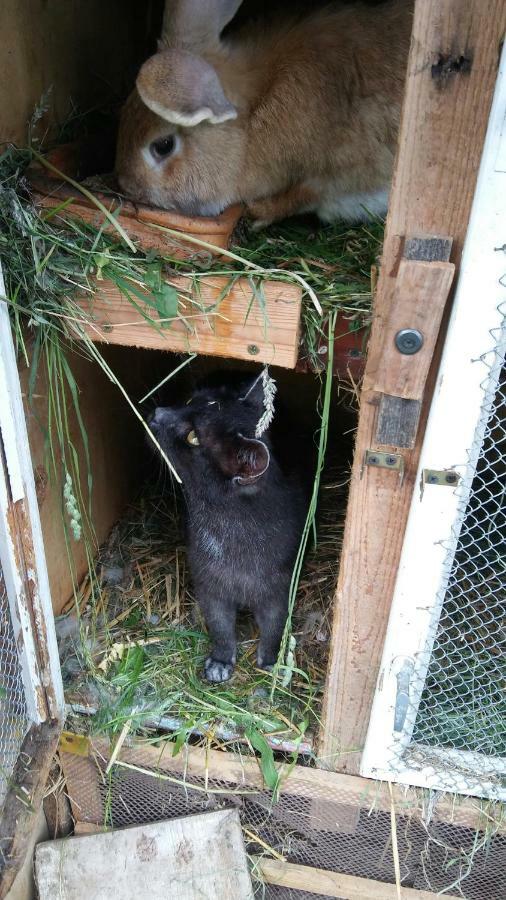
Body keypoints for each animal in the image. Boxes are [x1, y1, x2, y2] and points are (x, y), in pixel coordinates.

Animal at [148, 370, 308, 684]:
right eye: (190, 401)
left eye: (194, 437)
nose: (159, 413)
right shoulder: (208, 583)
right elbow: (220, 626)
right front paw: (221, 661)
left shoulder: (279, 587)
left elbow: (275, 625)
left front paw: (272, 660)